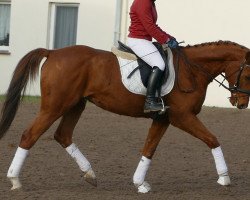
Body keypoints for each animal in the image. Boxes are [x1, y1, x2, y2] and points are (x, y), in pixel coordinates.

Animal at [0, 41, 250, 194]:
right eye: (248, 74)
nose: (242, 104)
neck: (192, 69)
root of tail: (53, 52)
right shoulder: (182, 116)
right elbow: (213, 140)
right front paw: (224, 178)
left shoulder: (163, 118)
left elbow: (149, 148)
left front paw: (140, 183)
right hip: (55, 106)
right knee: (29, 135)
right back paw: (14, 180)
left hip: (75, 105)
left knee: (63, 135)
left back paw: (90, 174)